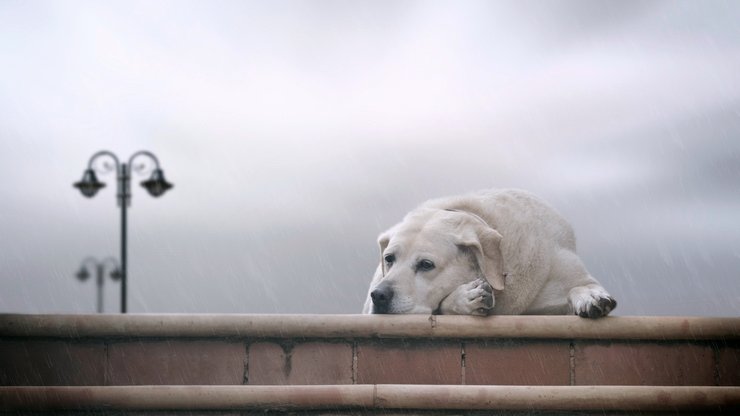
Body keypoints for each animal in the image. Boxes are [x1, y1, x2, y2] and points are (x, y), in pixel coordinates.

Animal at [362, 189, 616, 318]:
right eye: (389, 259)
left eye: (426, 264)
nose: (380, 295)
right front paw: (467, 298)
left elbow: (580, 285)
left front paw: (591, 297)